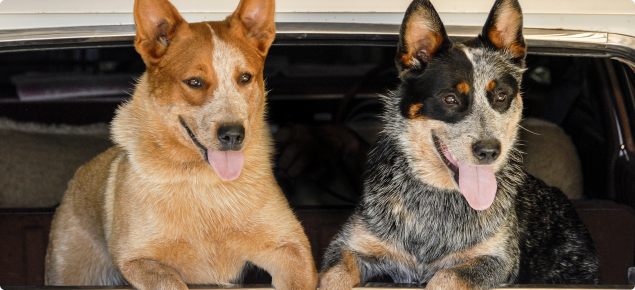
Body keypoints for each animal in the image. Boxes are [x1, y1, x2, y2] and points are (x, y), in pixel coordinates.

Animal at [44, 0, 318, 288]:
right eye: (194, 82)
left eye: (245, 78)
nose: (233, 134)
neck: (203, 181)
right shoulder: (135, 258)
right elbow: (170, 279)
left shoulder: (291, 246)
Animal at [318, 0, 600, 288]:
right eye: (450, 98)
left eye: (501, 96)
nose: (489, 151)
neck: (438, 200)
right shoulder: (348, 246)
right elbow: (333, 275)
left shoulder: (498, 260)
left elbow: (447, 275)